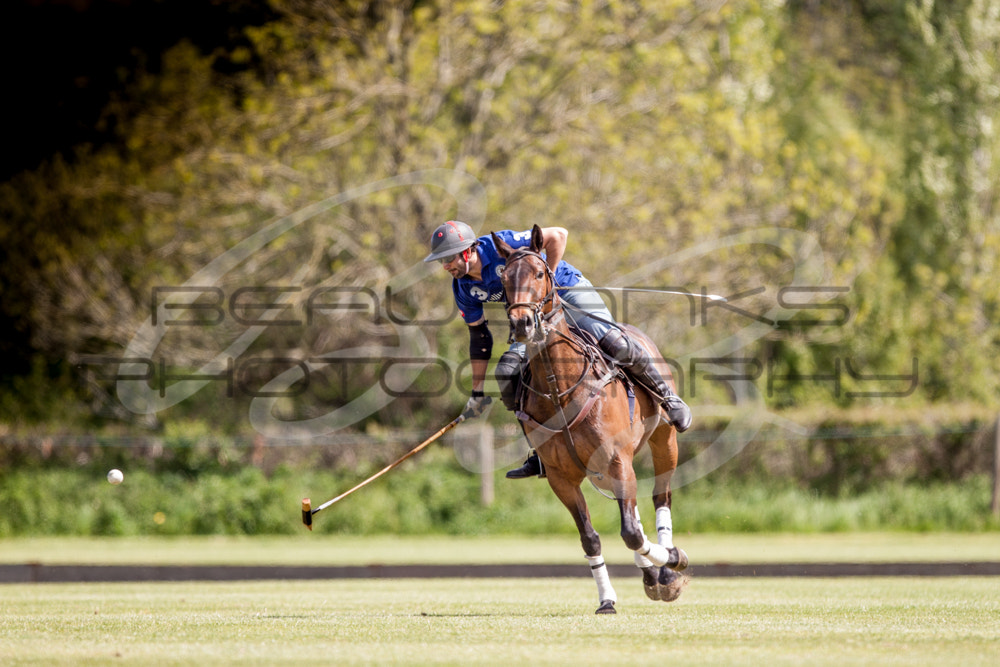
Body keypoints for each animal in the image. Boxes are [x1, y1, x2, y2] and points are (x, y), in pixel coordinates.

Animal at [492, 226, 688, 616]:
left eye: (540, 273)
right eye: (503, 279)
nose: (522, 324)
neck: (559, 386)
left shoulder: (616, 459)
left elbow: (631, 533)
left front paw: (673, 561)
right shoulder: (561, 477)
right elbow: (591, 538)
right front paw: (607, 599)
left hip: (663, 441)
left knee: (661, 497)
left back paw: (667, 568)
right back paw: (650, 575)